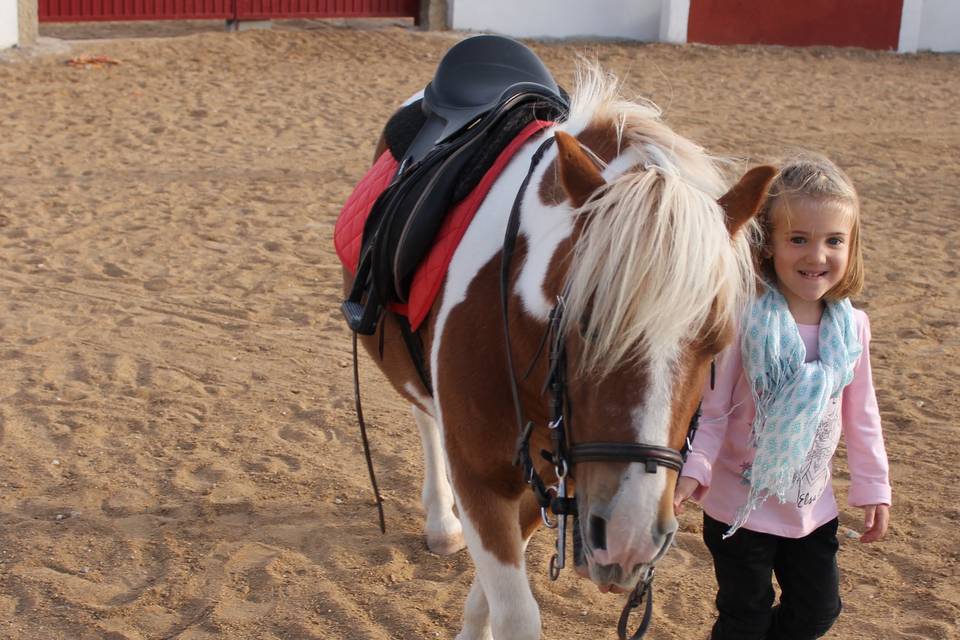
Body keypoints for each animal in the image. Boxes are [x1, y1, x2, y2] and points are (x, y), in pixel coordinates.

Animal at [340, 55, 775, 639]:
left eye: (717, 344)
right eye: (584, 324)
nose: (630, 539)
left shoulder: (545, 480)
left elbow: (491, 594)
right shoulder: (478, 475)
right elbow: (515, 612)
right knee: (425, 418)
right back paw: (440, 521)